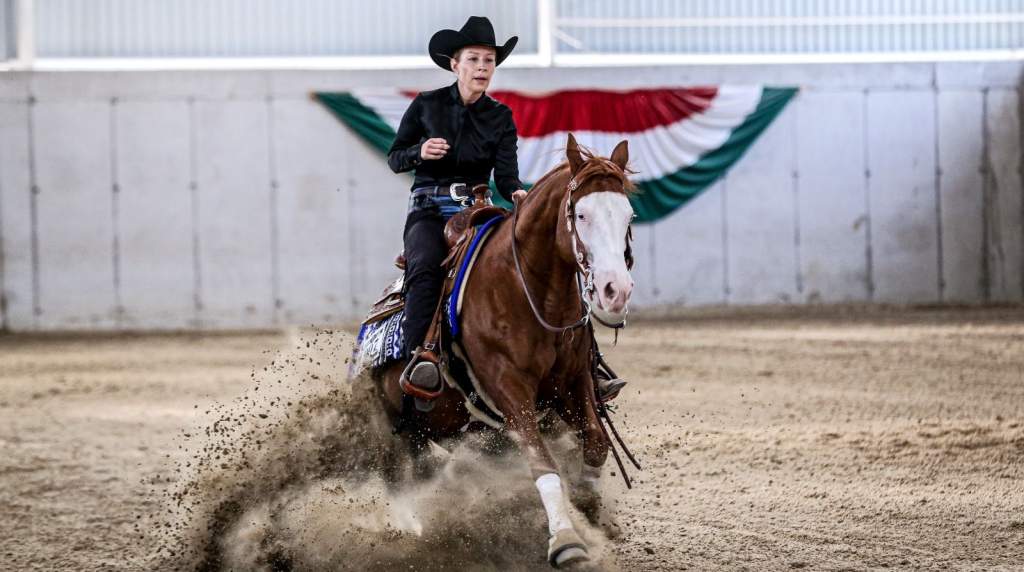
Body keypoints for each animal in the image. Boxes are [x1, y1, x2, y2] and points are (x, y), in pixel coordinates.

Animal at [368, 134, 630, 568]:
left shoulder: (573, 381)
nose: (616, 292)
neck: (532, 294)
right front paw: (566, 541)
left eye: (628, 216)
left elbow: (595, 442)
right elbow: (542, 464)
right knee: (404, 480)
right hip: (401, 431)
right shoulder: (508, 387)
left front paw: (591, 508)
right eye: (581, 215)